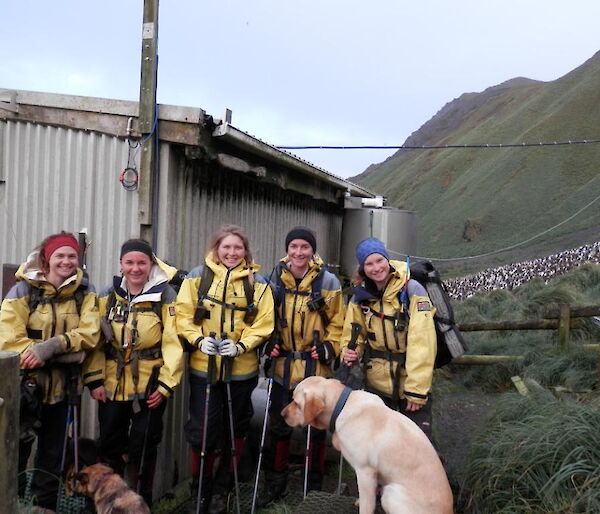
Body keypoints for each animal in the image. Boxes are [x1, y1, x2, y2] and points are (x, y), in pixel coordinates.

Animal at [284, 372, 452, 512]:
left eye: (297, 403)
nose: (282, 414)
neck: (342, 406)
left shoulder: (365, 471)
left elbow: (367, 505)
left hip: (390, 493)